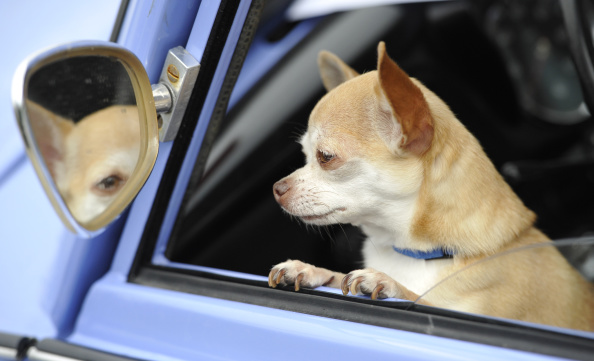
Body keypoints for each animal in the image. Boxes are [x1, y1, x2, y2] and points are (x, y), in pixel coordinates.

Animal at [268, 41, 592, 330]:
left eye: (325, 157)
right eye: (304, 154)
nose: (277, 188)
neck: (413, 255)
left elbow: (422, 300)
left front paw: (387, 282)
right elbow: (341, 277)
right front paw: (310, 269)